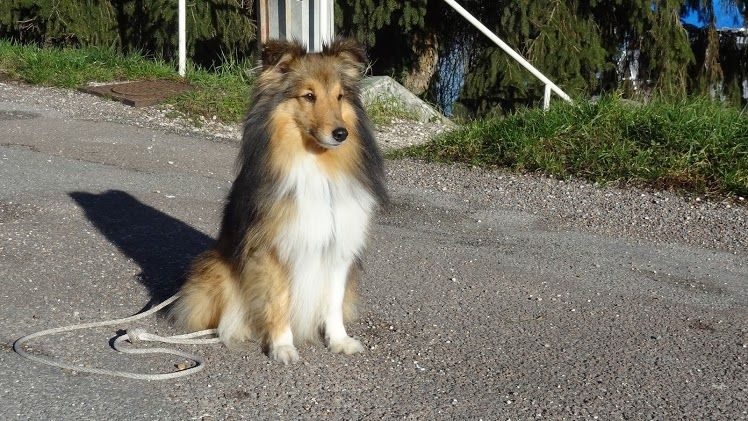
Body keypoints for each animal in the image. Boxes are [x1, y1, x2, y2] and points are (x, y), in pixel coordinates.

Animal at [172, 37, 388, 362]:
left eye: (339, 96)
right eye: (309, 96)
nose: (341, 134)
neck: (315, 163)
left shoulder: (338, 247)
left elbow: (333, 302)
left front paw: (339, 340)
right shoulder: (271, 250)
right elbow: (278, 301)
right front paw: (282, 346)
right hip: (216, 268)